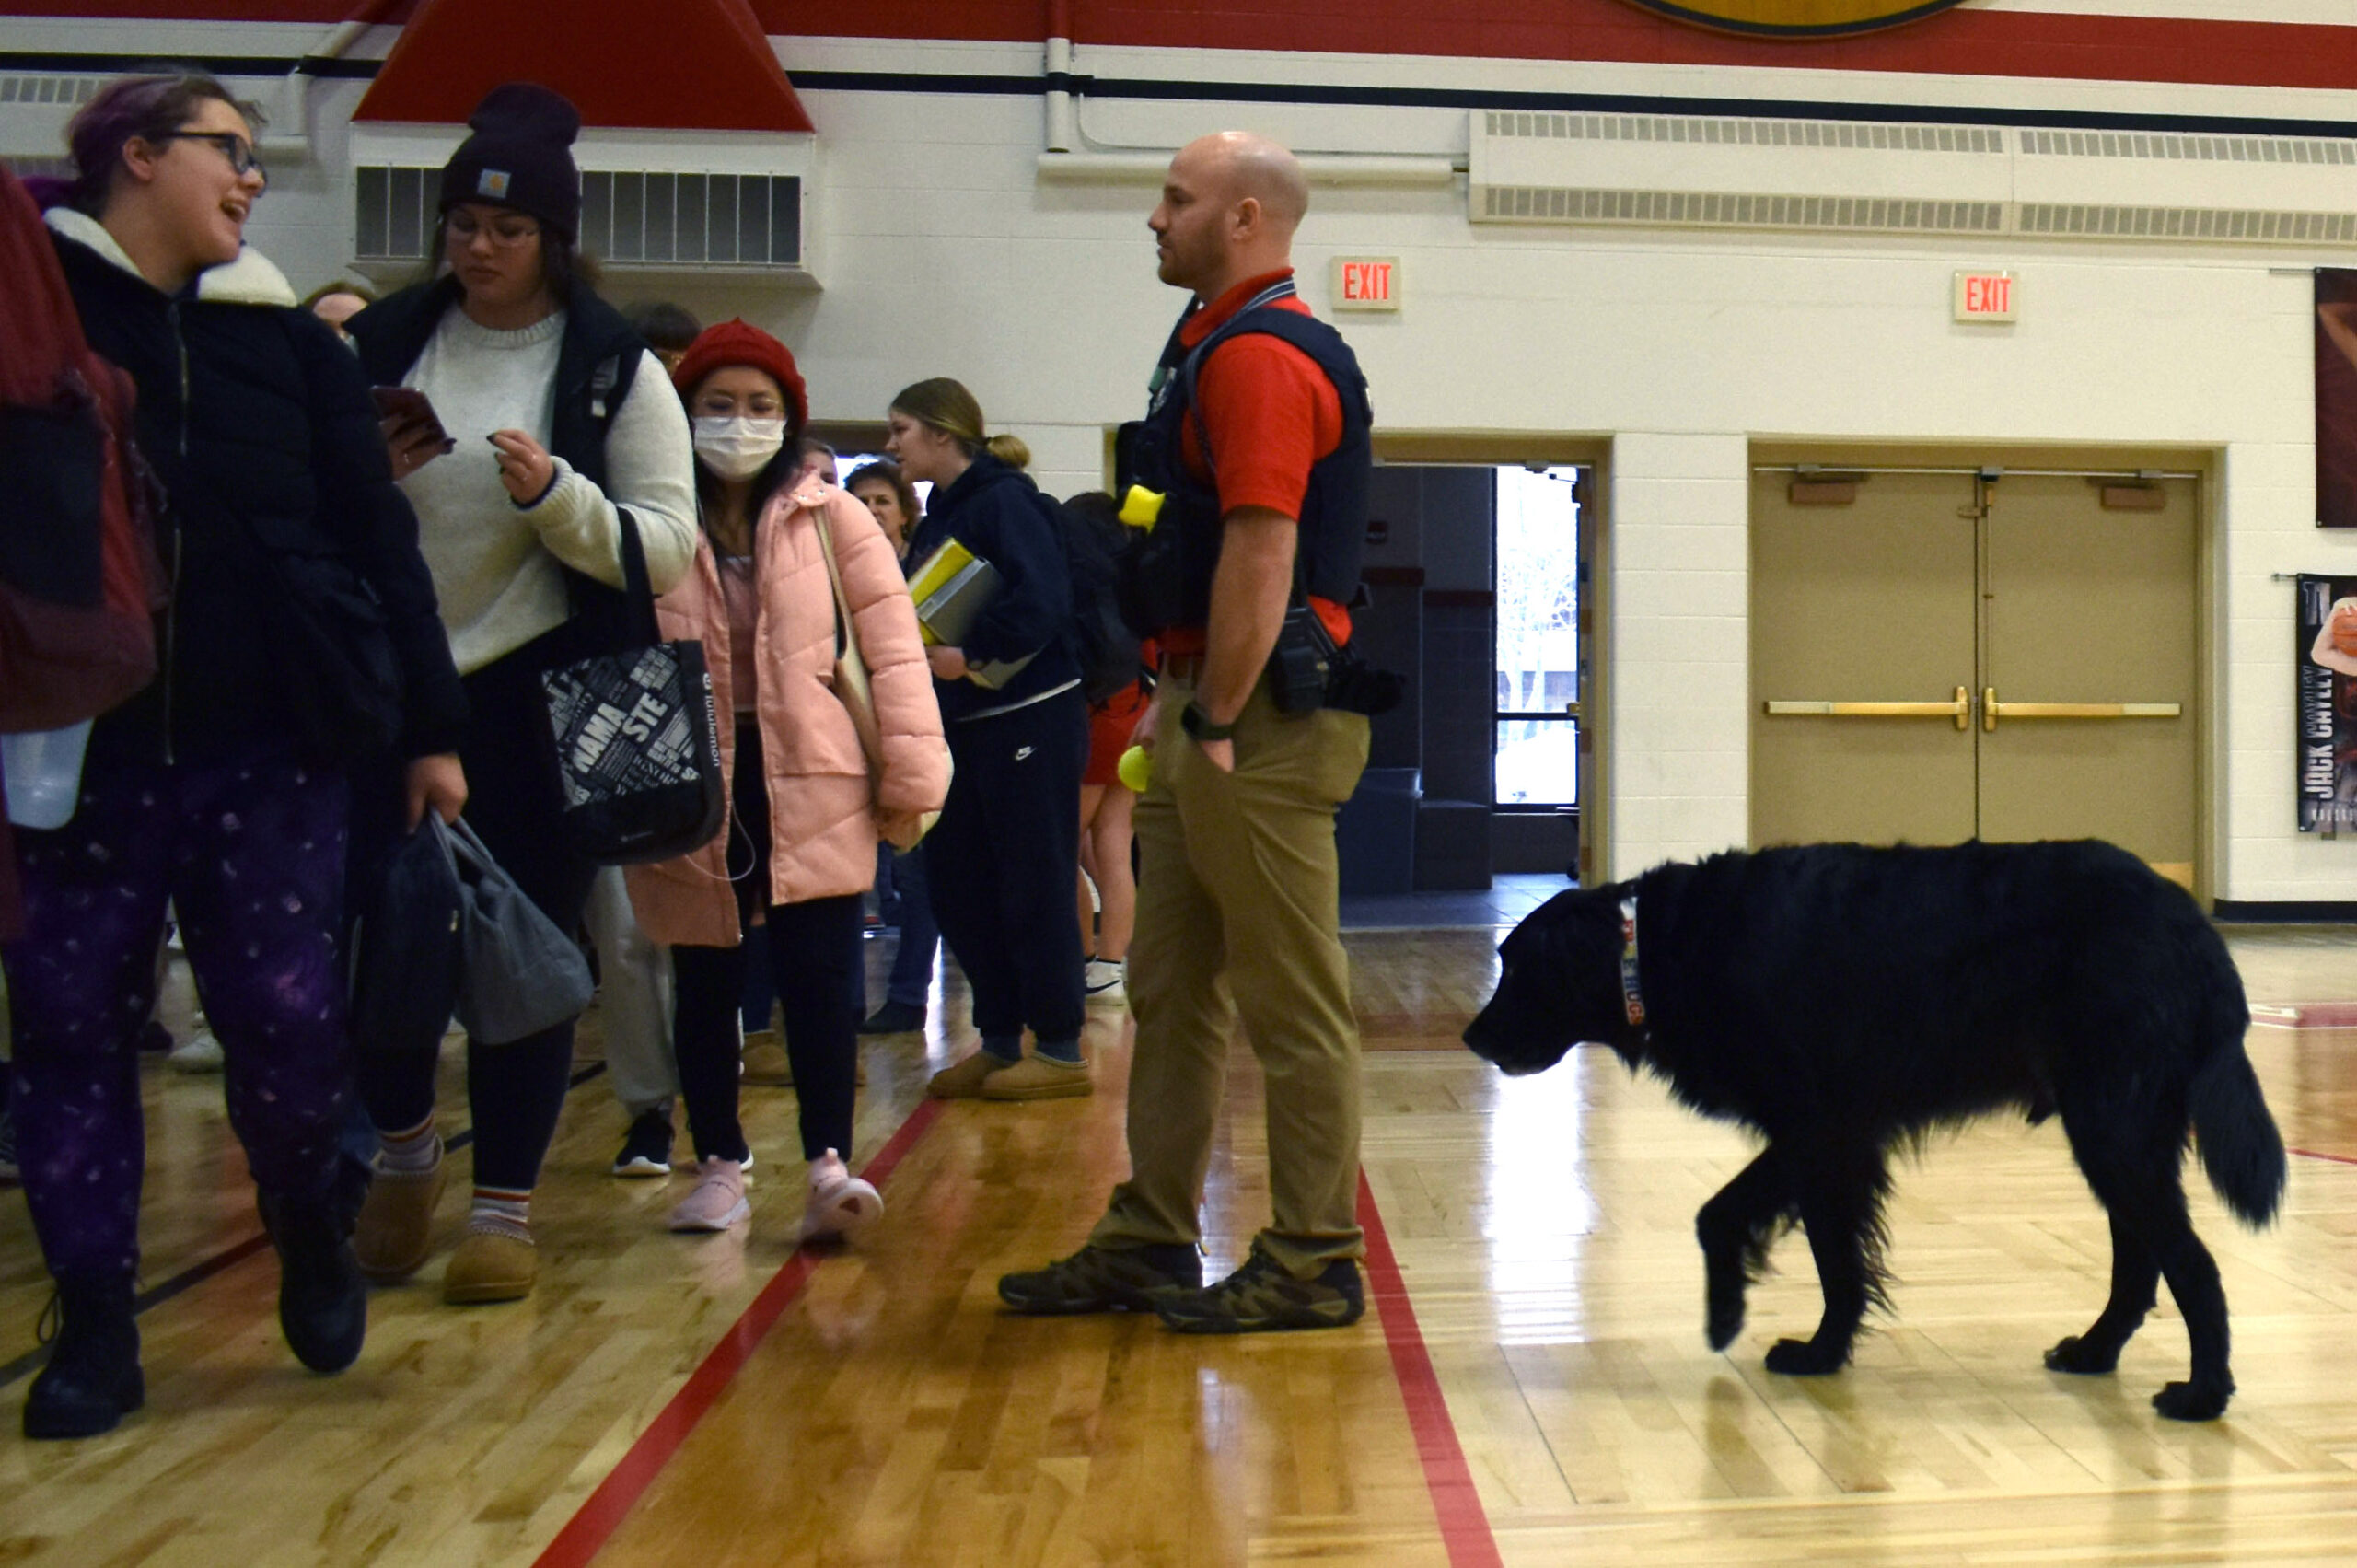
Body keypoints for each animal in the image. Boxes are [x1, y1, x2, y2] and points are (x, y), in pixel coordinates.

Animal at [1461, 843, 2291, 1414]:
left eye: (1519, 968)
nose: (1469, 1036)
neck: (1661, 948)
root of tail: (2193, 925)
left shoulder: (1823, 1129)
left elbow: (1774, 1236)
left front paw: (1768, 1329)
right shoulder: (1834, 1139)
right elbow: (1807, 1245)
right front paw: (1798, 1336)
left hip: (2113, 1128)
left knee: (2192, 1265)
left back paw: (2203, 1393)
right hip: (2120, 1129)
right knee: (2140, 1260)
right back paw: (2095, 1351)